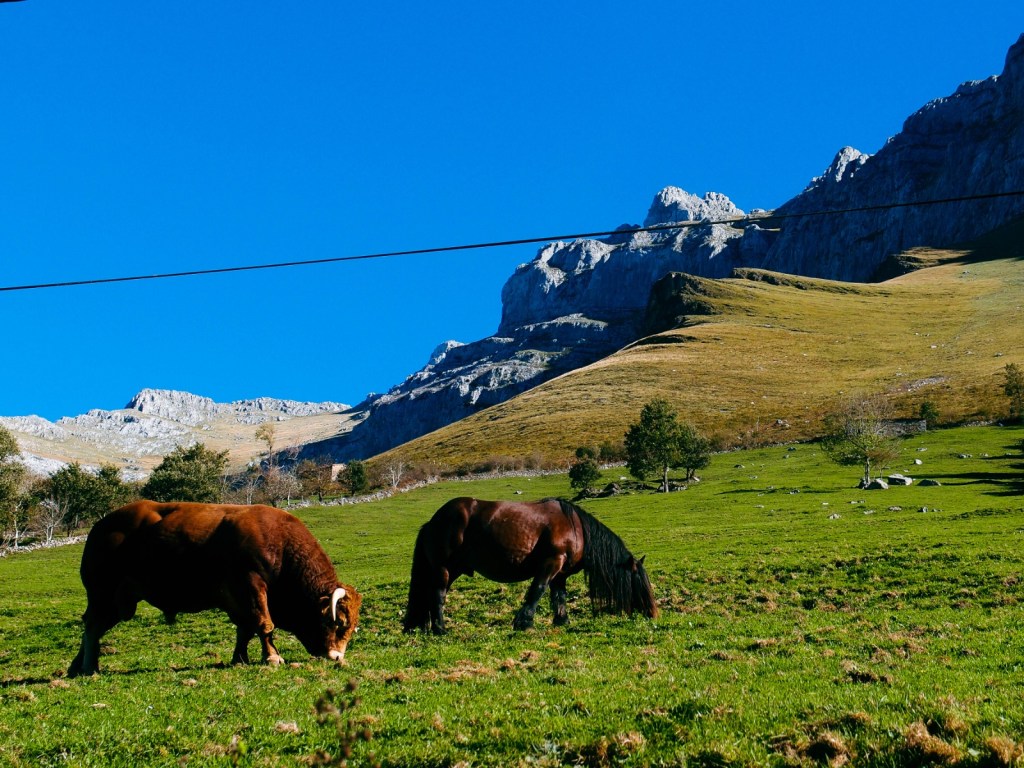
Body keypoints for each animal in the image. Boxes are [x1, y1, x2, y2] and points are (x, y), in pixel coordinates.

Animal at [67, 500, 361, 677]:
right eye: (337, 623)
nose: (337, 656)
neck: (280, 543)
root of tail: (101, 526)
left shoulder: (237, 598)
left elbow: (245, 629)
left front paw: (240, 658)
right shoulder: (251, 585)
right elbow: (264, 624)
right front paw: (272, 658)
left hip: (119, 602)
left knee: (94, 627)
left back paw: (77, 667)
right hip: (103, 594)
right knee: (92, 626)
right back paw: (89, 667)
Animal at [402, 497, 658, 633]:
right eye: (640, 583)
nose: (653, 613)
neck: (576, 527)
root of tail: (433, 521)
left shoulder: (560, 575)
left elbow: (559, 597)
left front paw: (561, 621)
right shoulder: (551, 563)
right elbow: (537, 591)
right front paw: (524, 622)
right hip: (444, 569)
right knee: (437, 596)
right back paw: (440, 629)